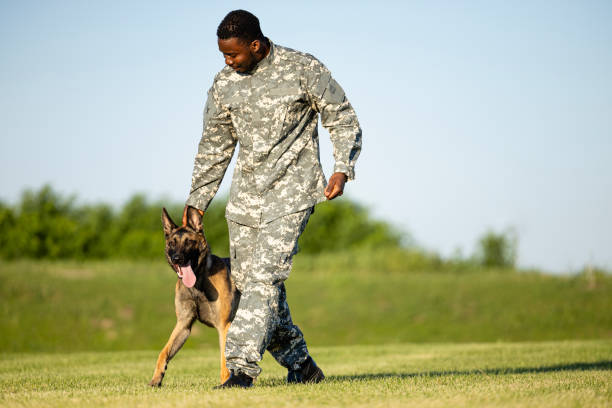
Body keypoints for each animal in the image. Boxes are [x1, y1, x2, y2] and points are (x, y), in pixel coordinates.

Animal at [149, 206, 240, 388]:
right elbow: (164, 352)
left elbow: (224, 361)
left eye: (189, 242)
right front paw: (156, 378)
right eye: (172, 243)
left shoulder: (223, 326)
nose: (177, 258)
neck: (198, 283)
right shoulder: (184, 324)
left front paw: (225, 384)